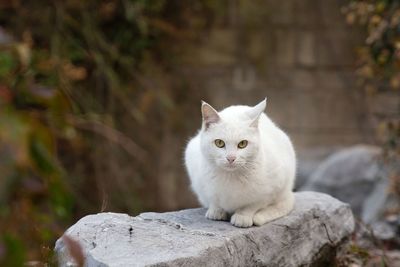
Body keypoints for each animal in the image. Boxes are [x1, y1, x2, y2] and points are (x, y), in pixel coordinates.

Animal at [184, 98, 294, 228]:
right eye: (219, 143)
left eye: (242, 144)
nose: (231, 158)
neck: (230, 177)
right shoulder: (201, 183)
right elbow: (214, 199)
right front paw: (216, 211)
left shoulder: (273, 188)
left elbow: (253, 205)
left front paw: (243, 216)